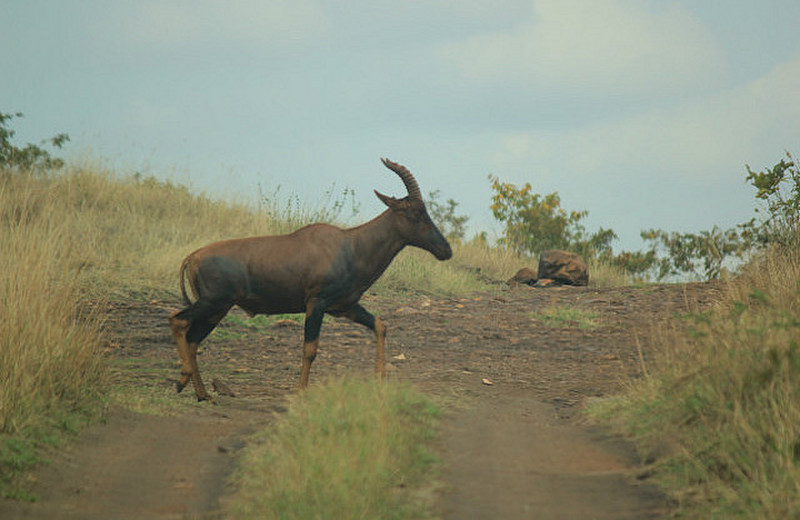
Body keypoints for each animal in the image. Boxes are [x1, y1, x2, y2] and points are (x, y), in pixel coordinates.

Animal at [170, 156, 454, 400]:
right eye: (414, 212)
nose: (446, 250)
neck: (351, 245)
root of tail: (192, 256)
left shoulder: (344, 308)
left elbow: (380, 326)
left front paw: (380, 380)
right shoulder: (316, 302)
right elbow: (310, 350)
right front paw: (300, 392)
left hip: (218, 310)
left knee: (193, 340)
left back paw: (202, 394)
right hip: (212, 303)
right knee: (178, 321)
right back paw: (182, 380)